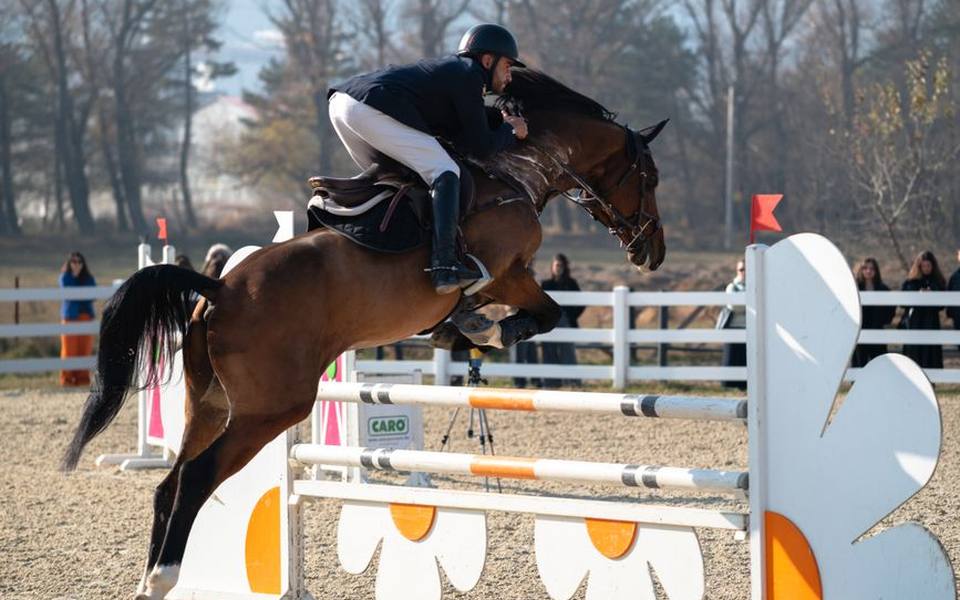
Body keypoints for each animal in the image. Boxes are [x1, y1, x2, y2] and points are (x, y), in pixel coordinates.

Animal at [61, 68, 667, 599]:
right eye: (651, 178)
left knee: (171, 482)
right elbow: (546, 313)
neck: (518, 172)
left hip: (207, 403)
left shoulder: (503, 276)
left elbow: (503, 312)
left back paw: (151, 582)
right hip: (269, 409)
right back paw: (164, 578)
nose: (652, 253)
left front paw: (466, 328)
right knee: (196, 478)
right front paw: (490, 330)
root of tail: (221, 288)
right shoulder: (507, 271)